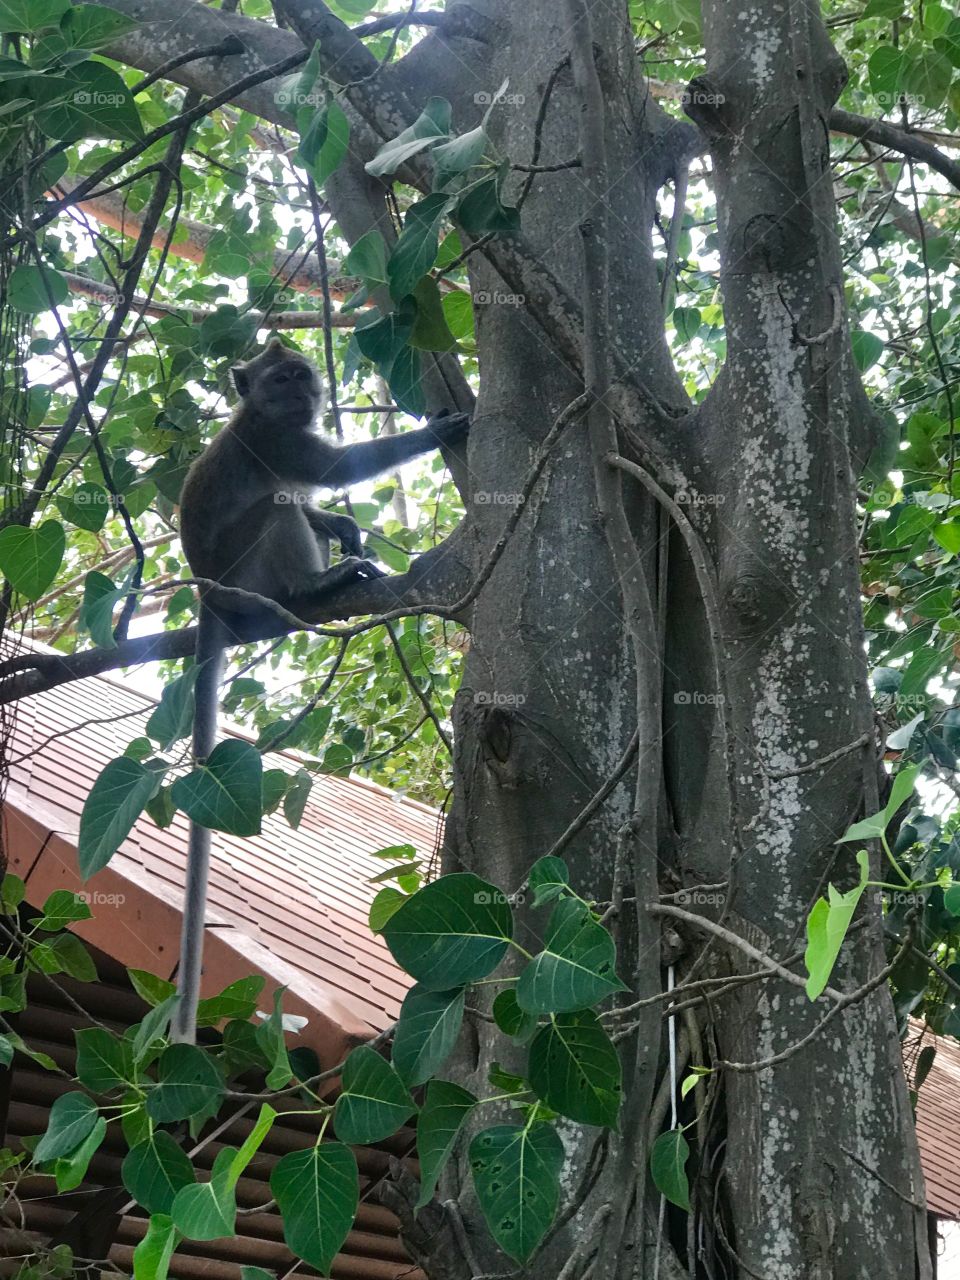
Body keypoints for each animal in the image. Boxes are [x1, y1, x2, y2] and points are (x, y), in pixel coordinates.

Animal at [171, 337, 470, 1041]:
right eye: (281, 378)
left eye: (302, 375)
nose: (303, 392)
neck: (262, 414)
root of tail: (208, 597)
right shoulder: (278, 441)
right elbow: (334, 467)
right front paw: (433, 433)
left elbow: (317, 499)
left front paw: (337, 522)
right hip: (245, 575)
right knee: (275, 513)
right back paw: (312, 586)